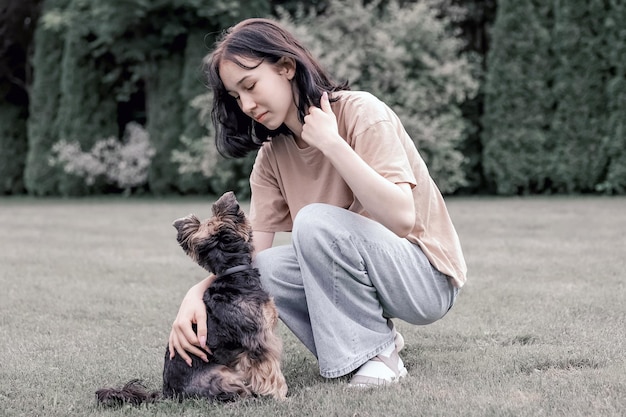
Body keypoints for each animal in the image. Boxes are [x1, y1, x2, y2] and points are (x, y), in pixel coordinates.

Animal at [95, 191, 288, 404]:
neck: (233, 273)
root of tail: (168, 395)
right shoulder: (259, 341)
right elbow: (269, 372)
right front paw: (279, 396)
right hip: (222, 375)